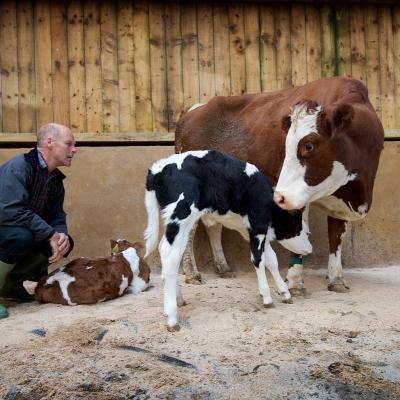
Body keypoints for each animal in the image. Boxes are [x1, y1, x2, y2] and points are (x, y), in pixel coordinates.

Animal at [144, 150, 312, 332]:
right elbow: (258, 259)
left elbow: (271, 259)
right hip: (181, 216)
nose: (310, 249)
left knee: (166, 250)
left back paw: (179, 299)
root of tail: (159, 168)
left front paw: (284, 292)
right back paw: (172, 318)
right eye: (305, 231)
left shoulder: (251, 230)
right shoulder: (258, 224)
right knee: (170, 256)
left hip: (176, 223)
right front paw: (267, 297)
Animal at [176, 76, 384, 294]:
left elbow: (336, 237)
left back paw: (222, 267)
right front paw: (294, 282)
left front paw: (336, 279)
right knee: (189, 229)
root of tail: (194, 109)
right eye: (286, 145)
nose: (278, 197)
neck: (356, 192)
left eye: (308, 145)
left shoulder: (340, 199)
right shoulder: (296, 196)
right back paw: (192, 273)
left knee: (213, 225)